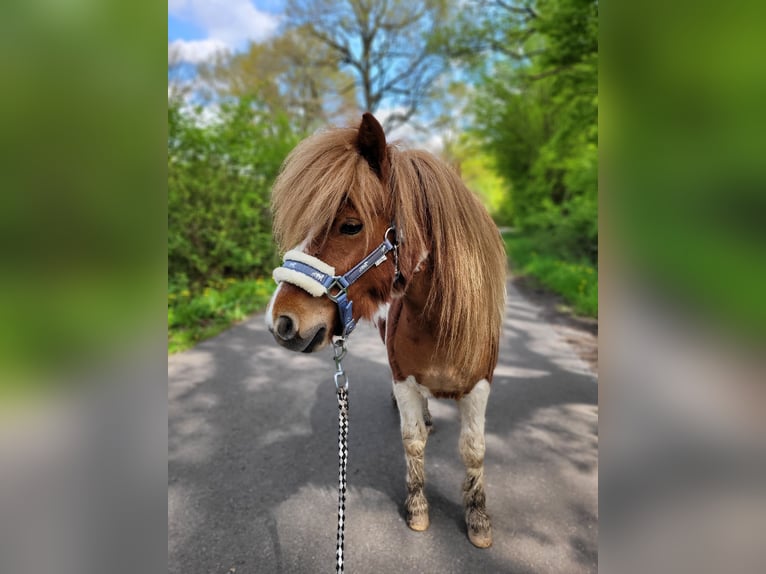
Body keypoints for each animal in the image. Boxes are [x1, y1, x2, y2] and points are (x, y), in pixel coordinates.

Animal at [268, 112, 508, 548]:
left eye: (350, 225)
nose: (283, 321)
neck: (438, 323)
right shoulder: (403, 380)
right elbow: (412, 442)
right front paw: (417, 508)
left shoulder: (480, 386)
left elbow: (474, 450)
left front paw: (478, 518)